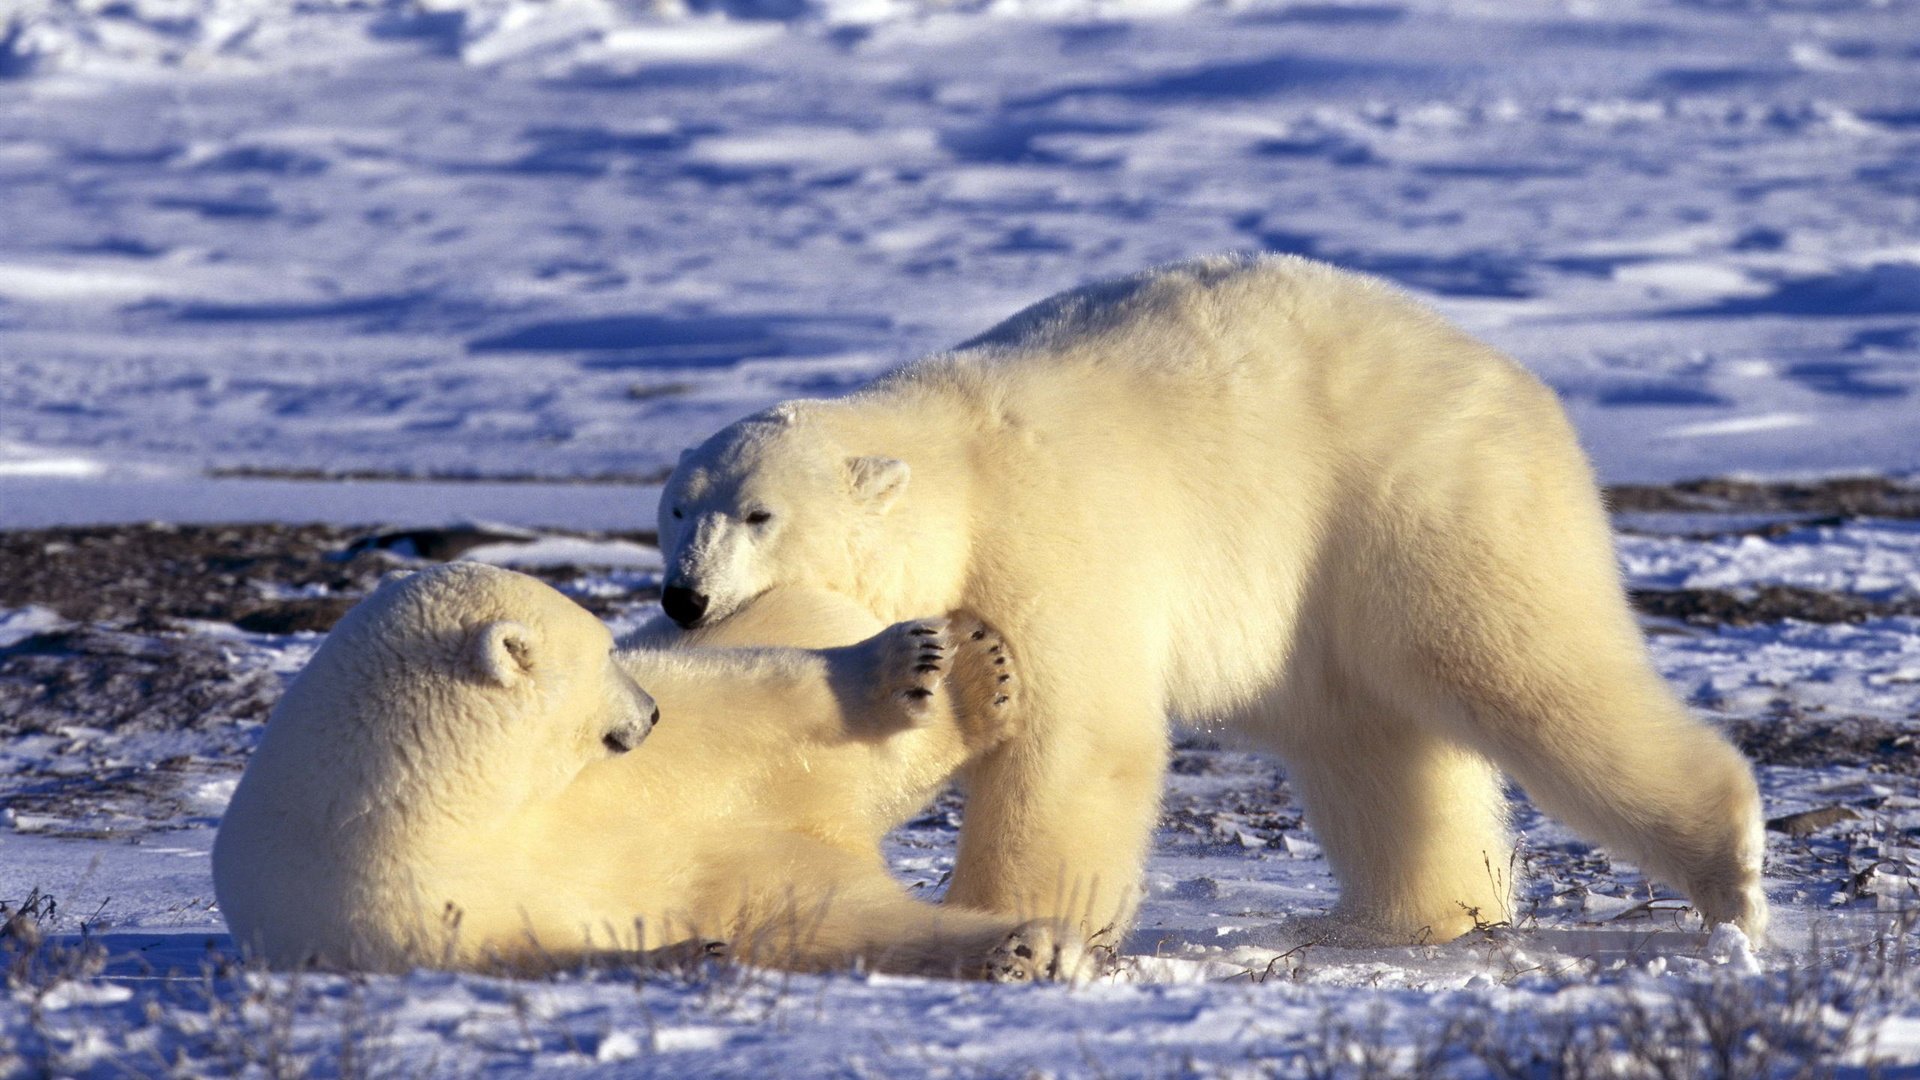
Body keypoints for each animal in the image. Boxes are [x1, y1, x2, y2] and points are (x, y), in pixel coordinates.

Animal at [219, 553, 1082, 976]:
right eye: (602, 654)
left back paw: (964, 672)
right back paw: (1021, 946)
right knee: (854, 921)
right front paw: (685, 949)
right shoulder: (390, 900)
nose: (648, 714)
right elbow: (524, 951)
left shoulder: (610, 781)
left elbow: (742, 710)